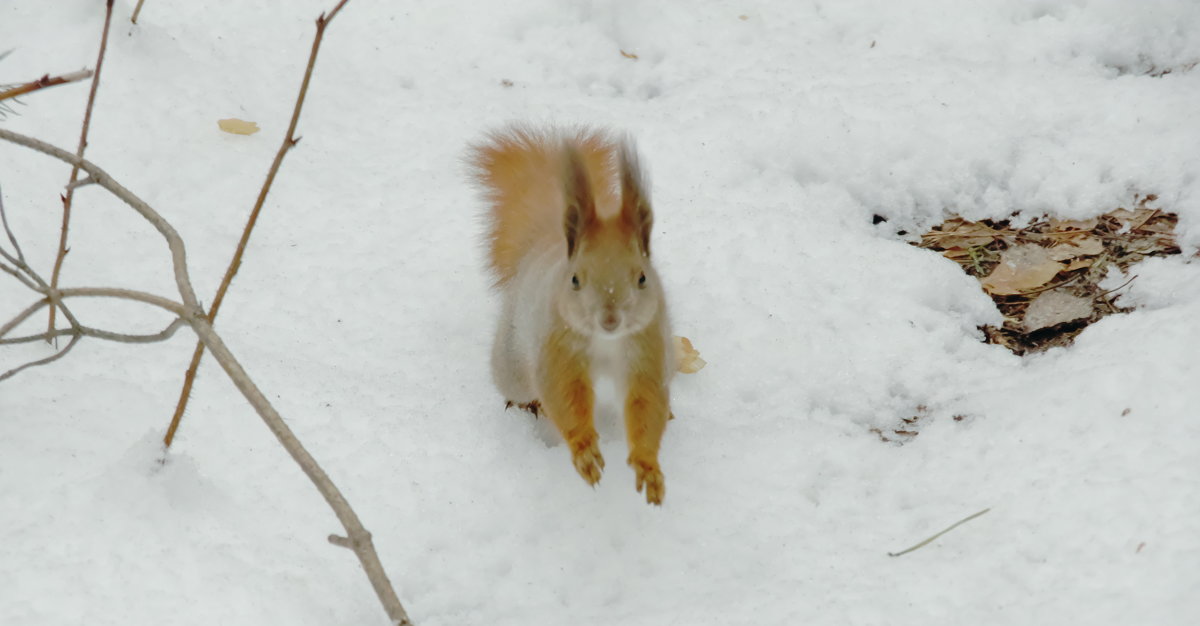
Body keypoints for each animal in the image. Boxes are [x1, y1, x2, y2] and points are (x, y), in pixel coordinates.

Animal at [468, 125, 676, 501]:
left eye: (642, 277)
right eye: (575, 279)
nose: (610, 319)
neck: (606, 342)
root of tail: (541, 245)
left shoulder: (647, 347)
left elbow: (646, 402)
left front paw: (648, 466)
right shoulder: (558, 347)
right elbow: (563, 394)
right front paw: (585, 453)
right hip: (512, 357)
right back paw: (524, 404)